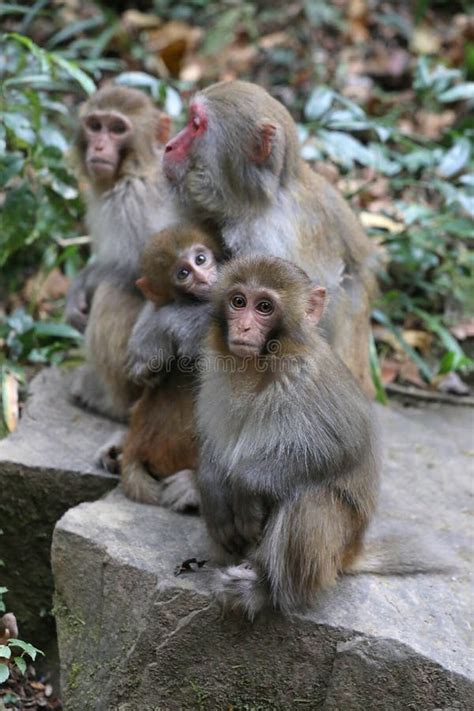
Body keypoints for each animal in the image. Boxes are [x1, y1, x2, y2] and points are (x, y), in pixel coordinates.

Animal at [66, 85, 176, 420]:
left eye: (117, 129)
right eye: (95, 126)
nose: (100, 146)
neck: (134, 168)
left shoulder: (131, 200)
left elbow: (144, 272)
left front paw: (83, 288)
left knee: (112, 290)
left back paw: (109, 403)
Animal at [194, 256, 380, 616]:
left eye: (264, 307)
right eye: (238, 302)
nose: (244, 328)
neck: (260, 365)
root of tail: (353, 551)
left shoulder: (307, 378)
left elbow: (341, 448)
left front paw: (245, 486)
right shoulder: (217, 373)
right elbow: (214, 440)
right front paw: (210, 486)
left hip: (335, 547)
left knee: (310, 499)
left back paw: (264, 592)